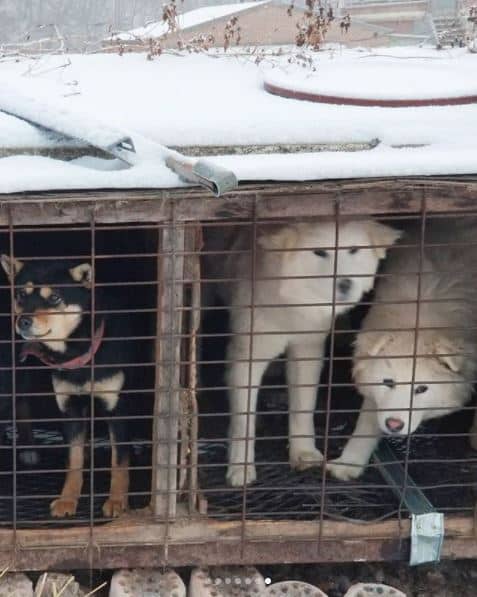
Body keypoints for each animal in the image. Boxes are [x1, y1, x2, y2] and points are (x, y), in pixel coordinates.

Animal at [1, 254, 133, 518]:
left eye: (54, 297)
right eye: (20, 295)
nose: (23, 321)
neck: (76, 352)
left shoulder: (117, 409)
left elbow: (118, 461)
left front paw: (116, 501)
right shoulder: (70, 407)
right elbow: (73, 460)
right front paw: (67, 500)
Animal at [204, 218, 401, 486]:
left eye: (353, 249)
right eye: (319, 252)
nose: (346, 283)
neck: (292, 305)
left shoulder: (308, 350)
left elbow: (303, 406)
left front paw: (303, 451)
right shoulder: (247, 357)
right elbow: (244, 420)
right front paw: (241, 467)